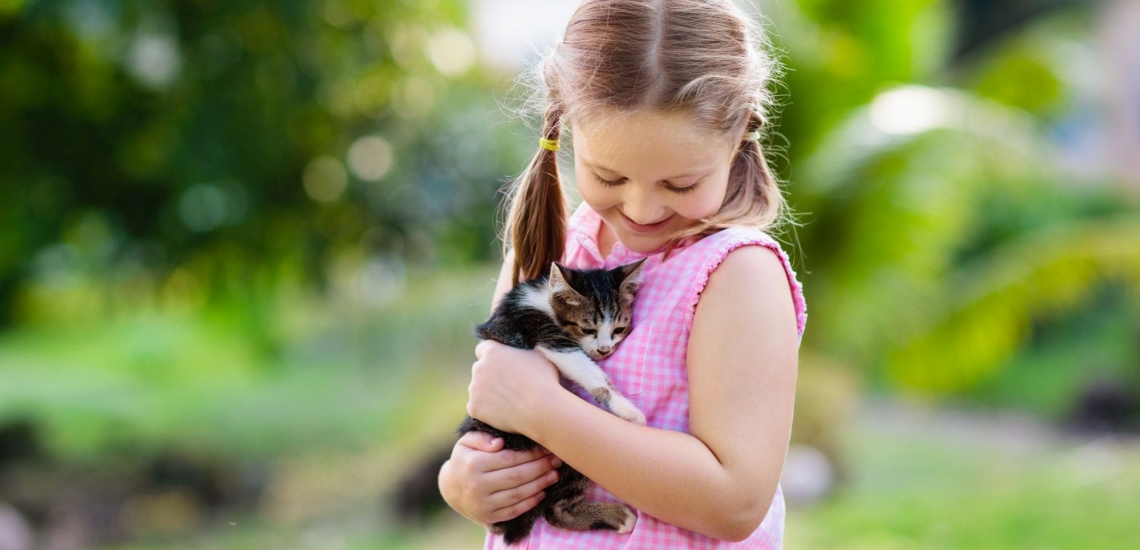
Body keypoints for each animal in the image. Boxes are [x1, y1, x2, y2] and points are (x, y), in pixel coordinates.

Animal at [458, 260, 647, 543]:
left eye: (618, 330)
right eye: (587, 329)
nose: (604, 349)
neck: (544, 298)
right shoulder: (541, 331)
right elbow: (588, 371)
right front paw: (628, 410)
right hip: (566, 452)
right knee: (555, 511)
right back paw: (617, 516)